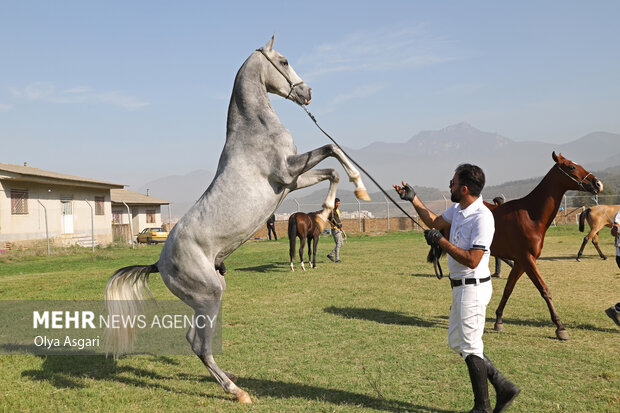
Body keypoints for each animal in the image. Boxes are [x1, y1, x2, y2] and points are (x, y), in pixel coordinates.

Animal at [104, 35, 370, 402]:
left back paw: (229, 377)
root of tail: (158, 263)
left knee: (196, 340)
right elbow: (331, 149)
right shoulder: (287, 171)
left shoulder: (290, 182)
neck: (255, 129)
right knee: (199, 345)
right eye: (284, 61)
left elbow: (332, 170)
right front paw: (357, 188)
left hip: (210, 296)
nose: (308, 93)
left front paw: (335, 205)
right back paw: (237, 391)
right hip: (210, 295)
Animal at [490, 151, 600, 338]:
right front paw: (560, 327)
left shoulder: (521, 261)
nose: (597, 183)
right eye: (571, 166)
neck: (530, 215)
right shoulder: (527, 259)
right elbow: (544, 290)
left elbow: (508, 288)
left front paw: (498, 321)